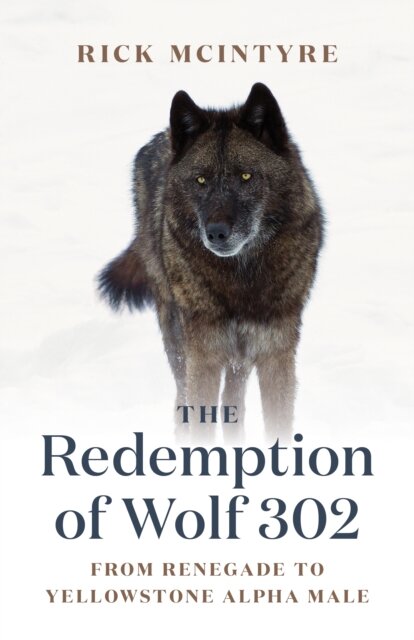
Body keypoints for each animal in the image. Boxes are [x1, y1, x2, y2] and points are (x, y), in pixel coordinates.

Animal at [98, 83, 323, 438]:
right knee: (182, 401)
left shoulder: (276, 355)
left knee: (234, 401)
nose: (215, 233)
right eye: (200, 180)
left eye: (245, 176)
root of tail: (161, 135)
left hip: (238, 359)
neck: (241, 280)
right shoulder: (203, 357)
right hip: (178, 340)